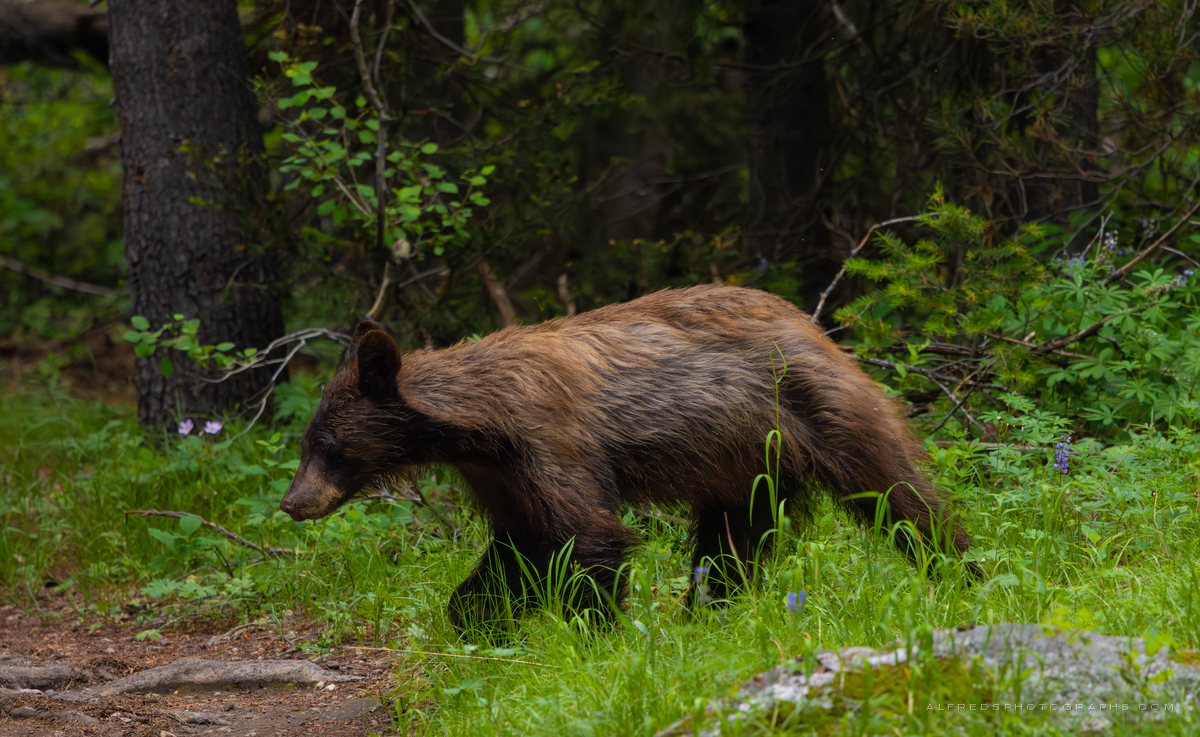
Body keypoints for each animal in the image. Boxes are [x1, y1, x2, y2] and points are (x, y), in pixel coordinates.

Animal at [280, 285, 977, 632]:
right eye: (308, 443)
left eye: (329, 446)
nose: (292, 503)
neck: (476, 426)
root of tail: (817, 327)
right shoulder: (501, 474)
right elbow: (518, 547)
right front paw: (478, 618)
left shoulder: (553, 440)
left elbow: (589, 535)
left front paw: (598, 634)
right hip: (744, 465)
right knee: (731, 544)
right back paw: (705, 616)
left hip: (819, 413)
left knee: (900, 498)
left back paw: (962, 573)